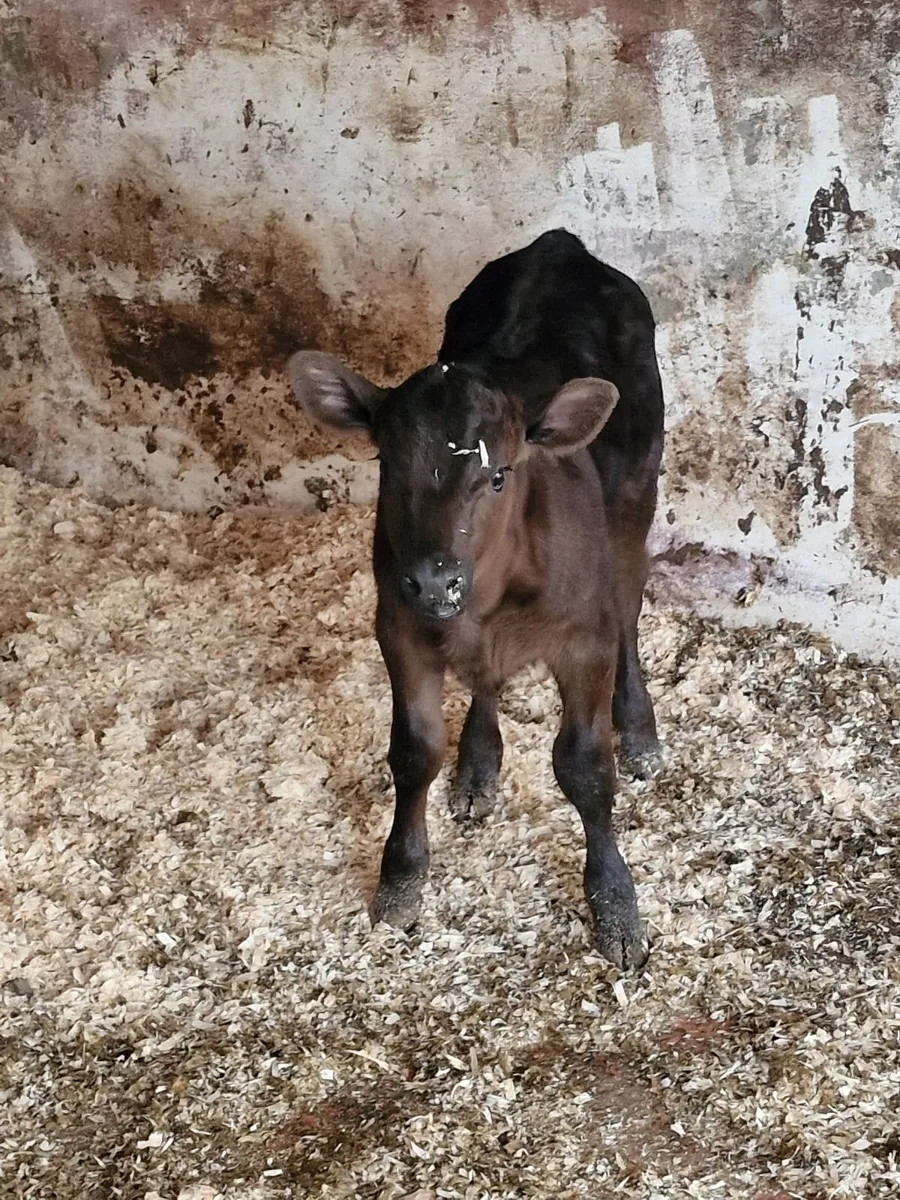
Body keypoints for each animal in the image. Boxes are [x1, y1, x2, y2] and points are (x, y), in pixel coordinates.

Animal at [287, 228, 664, 970]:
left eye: (499, 475)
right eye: (388, 465)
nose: (436, 580)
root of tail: (559, 245)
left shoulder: (583, 639)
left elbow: (584, 767)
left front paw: (615, 903)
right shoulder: (399, 626)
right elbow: (414, 753)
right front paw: (401, 879)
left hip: (638, 496)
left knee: (631, 606)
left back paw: (639, 729)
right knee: (485, 682)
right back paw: (478, 763)